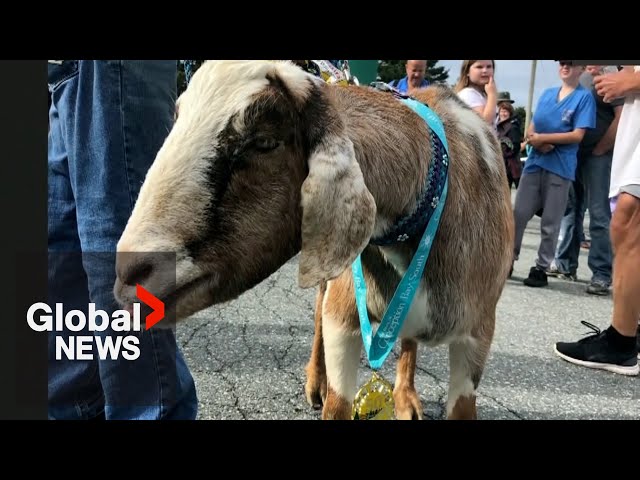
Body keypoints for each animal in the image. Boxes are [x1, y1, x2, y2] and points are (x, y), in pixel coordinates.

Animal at [114, 60, 516, 420]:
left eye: (264, 142)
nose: (131, 272)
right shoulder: (344, 317)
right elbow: (337, 396)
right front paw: (325, 388)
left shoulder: (478, 337)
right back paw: (315, 382)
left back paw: (405, 397)